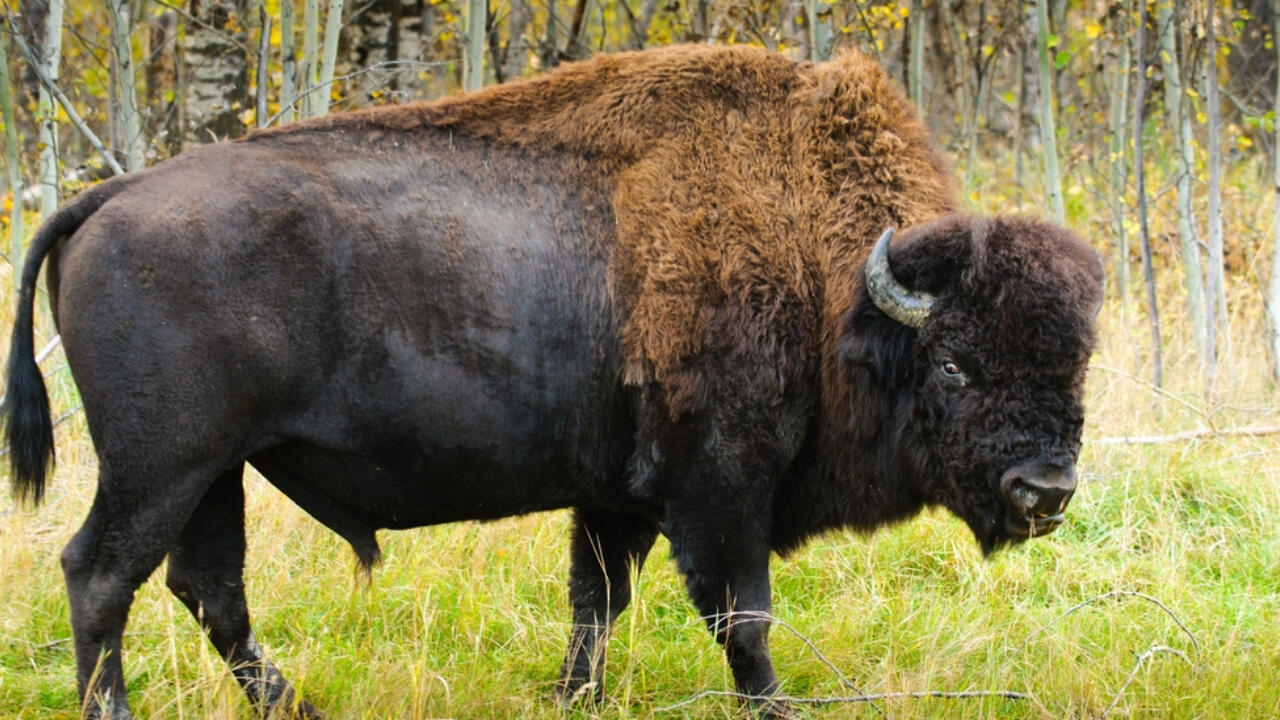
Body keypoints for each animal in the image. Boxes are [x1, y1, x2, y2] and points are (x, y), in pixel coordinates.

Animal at [2, 44, 1100, 717]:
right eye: (955, 362)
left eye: (1075, 362)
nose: (1044, 494)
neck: (823, 276)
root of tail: (106, 197)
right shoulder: (718, 486)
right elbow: (741, 614)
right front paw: (775, 705)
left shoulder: (615, 497)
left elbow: (596, 602)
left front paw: (576, 696)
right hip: (161, 463)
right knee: (102, 573)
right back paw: (119, 707)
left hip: (215, 469)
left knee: (207, 587)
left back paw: (296, 704)